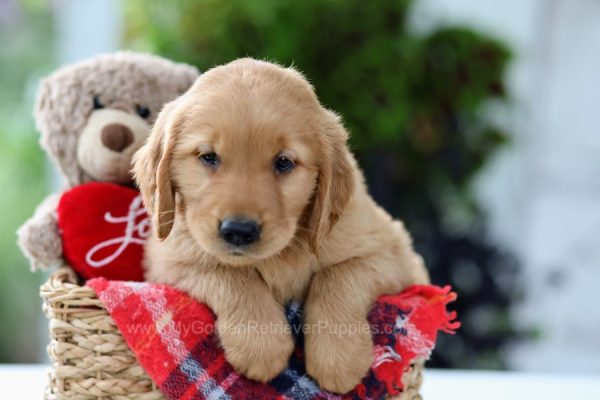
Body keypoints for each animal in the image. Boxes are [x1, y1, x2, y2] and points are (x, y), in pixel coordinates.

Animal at [134, 59, 428, 394]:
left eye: (284, 162)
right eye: (208, 157)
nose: (239, 231)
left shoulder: (393, 252)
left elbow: (338, 275)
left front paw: (339, 358)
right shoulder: (169, 257)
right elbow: (229, 273)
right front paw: (261, 344)